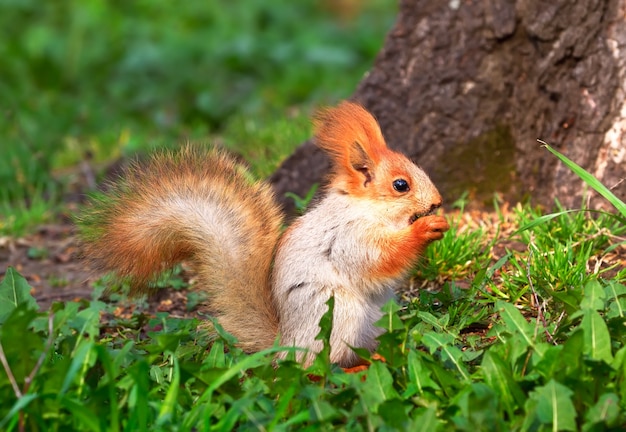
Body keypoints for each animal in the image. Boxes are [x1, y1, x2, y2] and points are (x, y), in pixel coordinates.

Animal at [79, 101, 448, 368]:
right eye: (400, 185)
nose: (437, 201)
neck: (368, 207)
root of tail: (286, 343)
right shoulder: (348, 237)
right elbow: (377, 261)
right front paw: (425, 229)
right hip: (336, 314)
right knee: (317, 367)